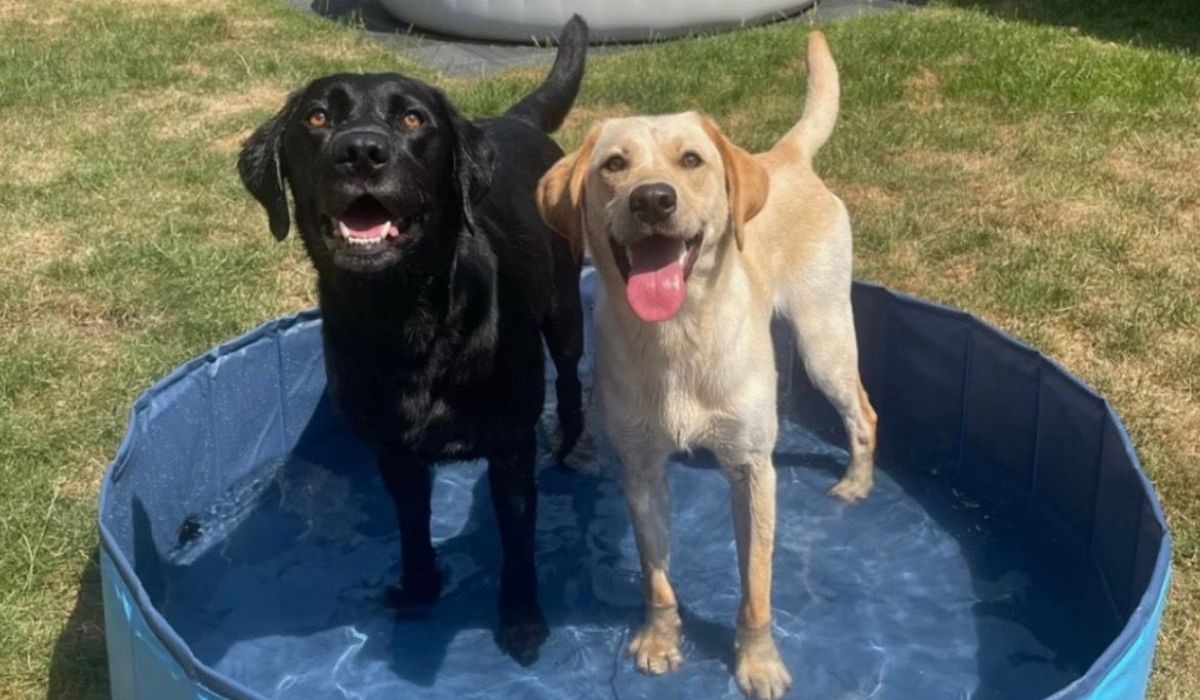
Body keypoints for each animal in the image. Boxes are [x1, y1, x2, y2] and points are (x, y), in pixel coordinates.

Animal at [236, 15, 588, 662]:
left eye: (412, 120)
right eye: (317, 118)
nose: (360, 151)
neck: (406, 317)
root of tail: (516, 120)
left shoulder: (510, 451)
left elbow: (518, 547)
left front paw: (521, 621)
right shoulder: (394, 453)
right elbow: (412, 529)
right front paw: (420, 589)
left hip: (564, 311)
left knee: (573, 376)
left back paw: (573, 443)